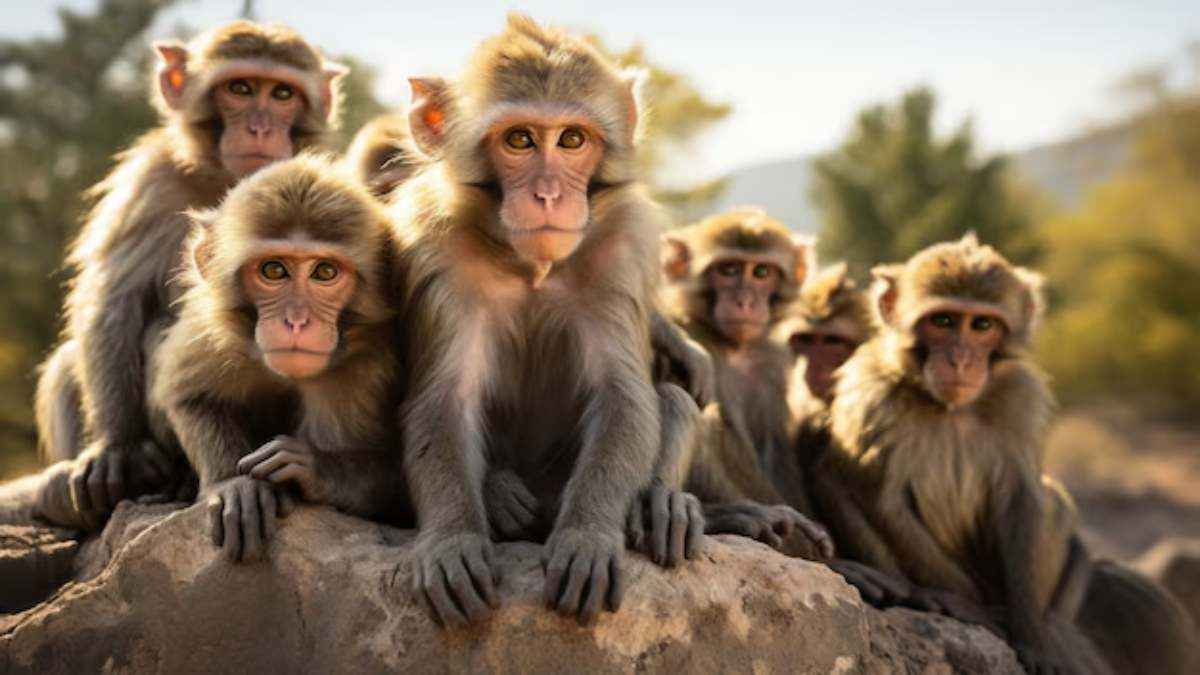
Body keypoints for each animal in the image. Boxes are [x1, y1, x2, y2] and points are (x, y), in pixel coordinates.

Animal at [30, 21, 349, 531]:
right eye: (240, 88)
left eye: (282, 93)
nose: (260, 126)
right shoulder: (152, 180)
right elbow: (114, 299)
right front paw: (116, 445)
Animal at [145, 155, 411, 562]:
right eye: (274, 270)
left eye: (325, 272)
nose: (296, 321)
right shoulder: (214, 335)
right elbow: (188, 395)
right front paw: (235, 485)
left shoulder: (362, 374)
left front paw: (315, 469)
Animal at [658, 208, 833, 558]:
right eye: (728, 269)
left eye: (761, 272)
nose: (745, 301)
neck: (734, 347)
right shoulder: (698, 341)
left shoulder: (771, 362)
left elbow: (774, 448)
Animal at [811, 233, 1197, 674]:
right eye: (943, 321)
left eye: (982, 325)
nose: (961, 360)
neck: (950, 408)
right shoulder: (872, 395)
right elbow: (879, 496)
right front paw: (969, 606)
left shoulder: (1021, 396)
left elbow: (1021, 496)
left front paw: (1033, 636)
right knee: (833, 477)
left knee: (1053, 501)